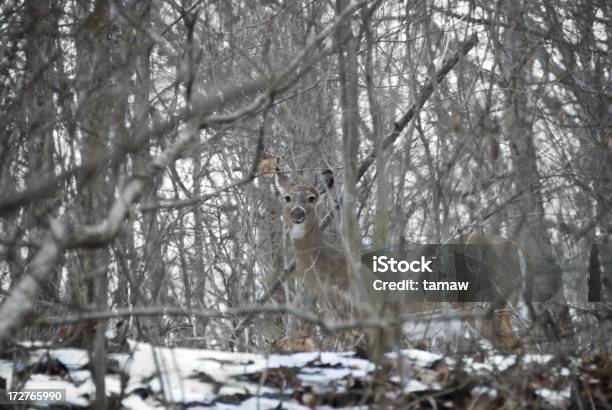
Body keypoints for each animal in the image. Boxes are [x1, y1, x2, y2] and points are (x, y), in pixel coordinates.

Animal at [276, 168, 560, 350]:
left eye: (312, 197)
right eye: (287, 197)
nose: (298, 213)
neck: (329, 274)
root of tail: (517, 248)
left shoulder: (360, 317)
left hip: (487, 304)